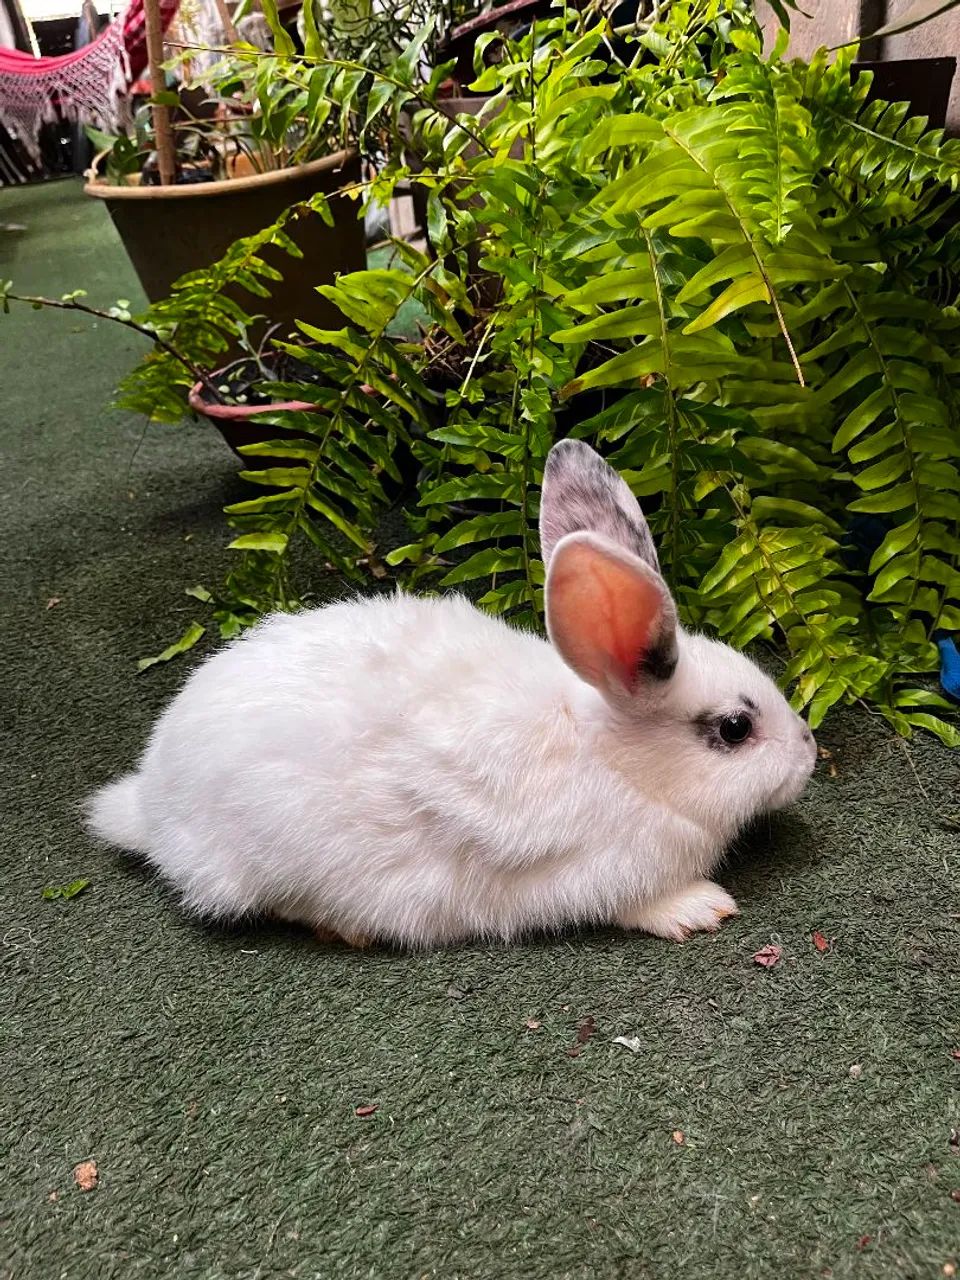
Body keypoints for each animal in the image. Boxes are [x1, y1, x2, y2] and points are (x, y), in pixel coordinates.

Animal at [87, 439, 817, 947]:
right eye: (734, 729)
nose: (810, 751)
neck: (615, 760)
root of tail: (150, 803)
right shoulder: (597, 875)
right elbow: (636, 904)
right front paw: (701, 907)